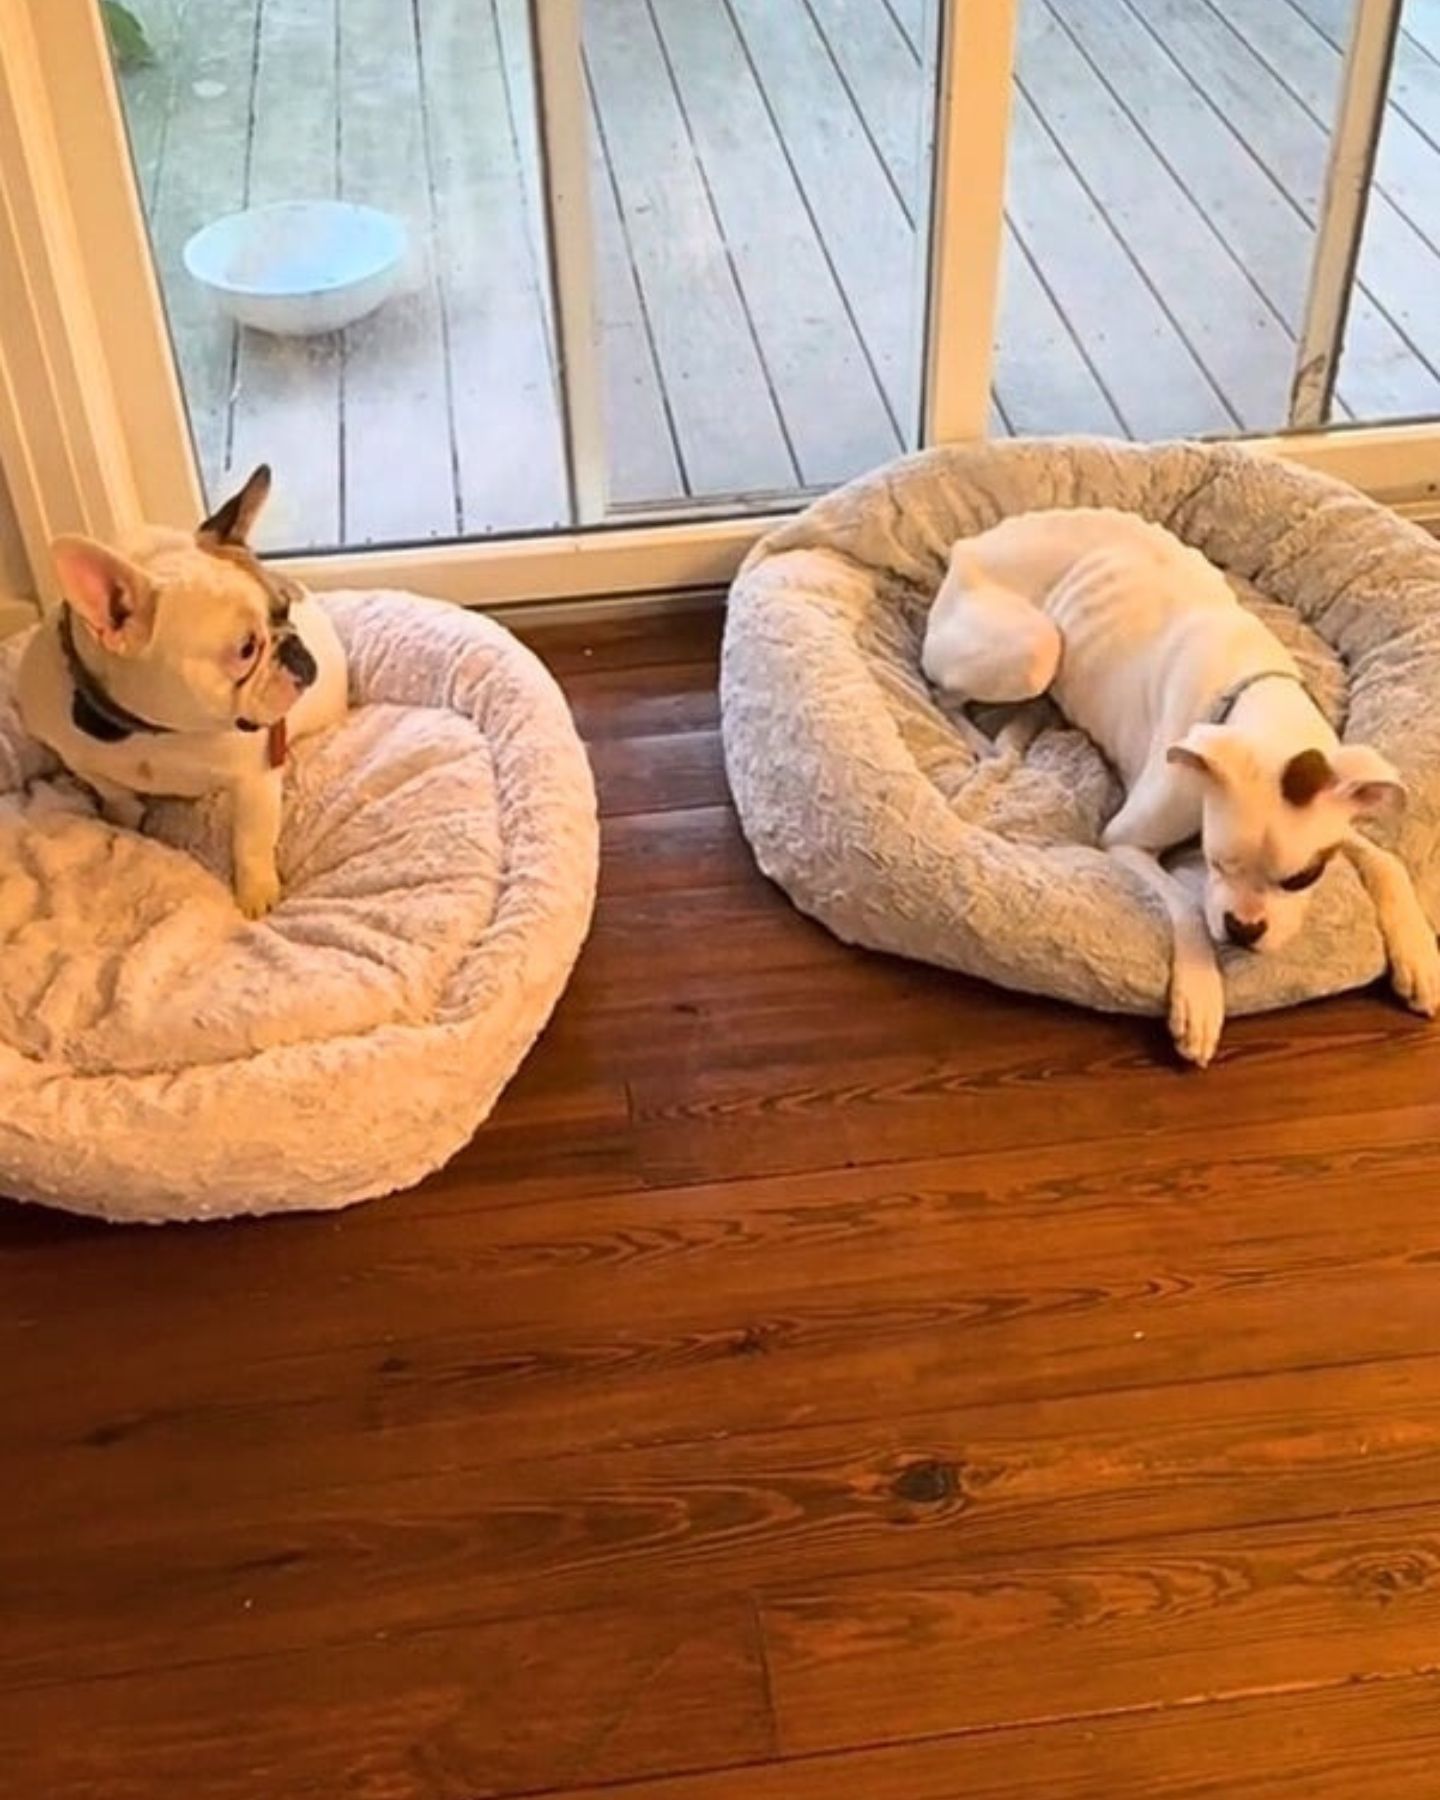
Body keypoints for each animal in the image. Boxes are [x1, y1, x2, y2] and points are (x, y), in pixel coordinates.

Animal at [921, 504, 1440, 1065]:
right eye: (1214, 860)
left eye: (1304, 877)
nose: (1243, 929)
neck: (1255, 700)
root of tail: (972, 545)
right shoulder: (1124, 840)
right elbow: (1188, 905)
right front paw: (1200, 998)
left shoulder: (1336, 817)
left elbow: (1386, 861)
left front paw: (1419, 955)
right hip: (1034, 651)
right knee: (942, 695)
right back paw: (990, 742)